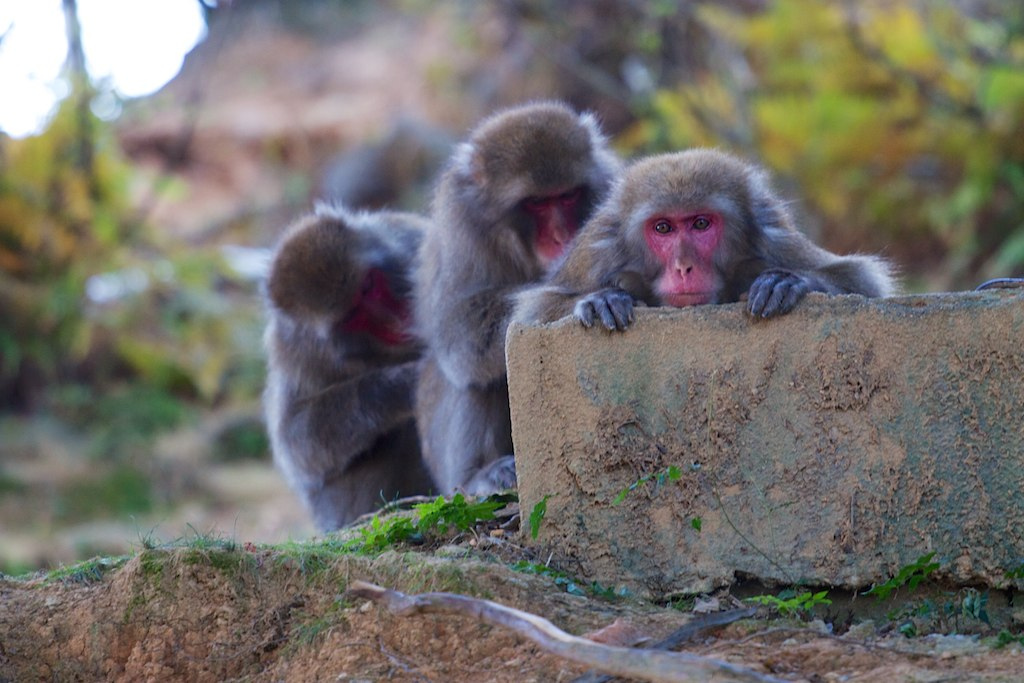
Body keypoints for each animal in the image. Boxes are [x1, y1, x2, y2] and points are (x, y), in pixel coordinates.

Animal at [262, 205, 434, 532]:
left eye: (368, 286)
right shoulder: (293, 350)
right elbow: (297, 444)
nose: (394, 319)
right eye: (352, 317)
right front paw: (400, 385)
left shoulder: (412, 236)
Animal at [411, 100, 618, 497]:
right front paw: (585, 298)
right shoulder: (460, 221)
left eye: (567, 196)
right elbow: (458, 329)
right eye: (536, 203)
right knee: (470, 372)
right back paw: (479, 475)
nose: (561, 235)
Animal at [520, 149, 897, 331]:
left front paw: (785, 281)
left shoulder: (772, 233)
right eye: (663, 228)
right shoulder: (599, 248)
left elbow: (858, 277)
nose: (684, 267)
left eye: (700, 223)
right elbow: (536, 307)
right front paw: (602, 300)